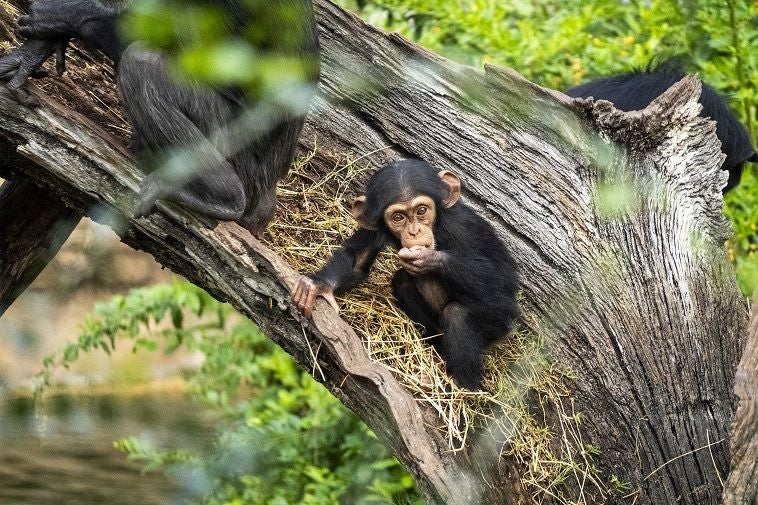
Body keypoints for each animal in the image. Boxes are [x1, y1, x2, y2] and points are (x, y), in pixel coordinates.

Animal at [0, 0, 322, 236]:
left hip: (235, 150)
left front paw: (70, 13)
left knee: (143, 63)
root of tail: (266, 205)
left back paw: (222, 198)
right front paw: (32, 52)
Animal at [292, 159, 524, 388]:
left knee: (457, 313)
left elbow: (501, 282)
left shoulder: (464, 228)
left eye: (421, 210)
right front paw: (318, 285)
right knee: (403, 281)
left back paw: (463, 386)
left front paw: (430, 259)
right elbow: (357, 260)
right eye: (398, 217)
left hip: (497, 327)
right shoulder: (374, 226)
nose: (414, 231)